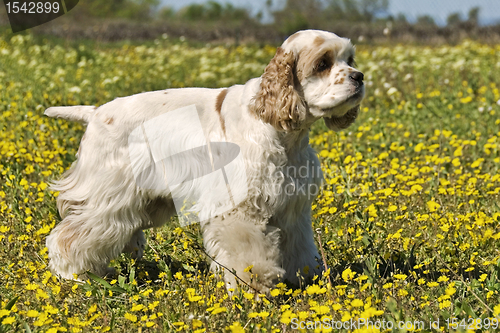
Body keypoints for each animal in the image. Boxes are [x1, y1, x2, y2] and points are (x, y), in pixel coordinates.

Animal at [44, 29, 364, 294]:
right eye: (323, 63)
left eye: (350, 59)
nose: (359, 76)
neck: (280, 128)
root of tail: (96, 113)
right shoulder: (239, 206)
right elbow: (248, 252)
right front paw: (254, 286)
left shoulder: (292, 205)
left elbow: (300, 246)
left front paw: (304, 279)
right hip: (109, 199)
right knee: (70, 236)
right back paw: (74, 276)